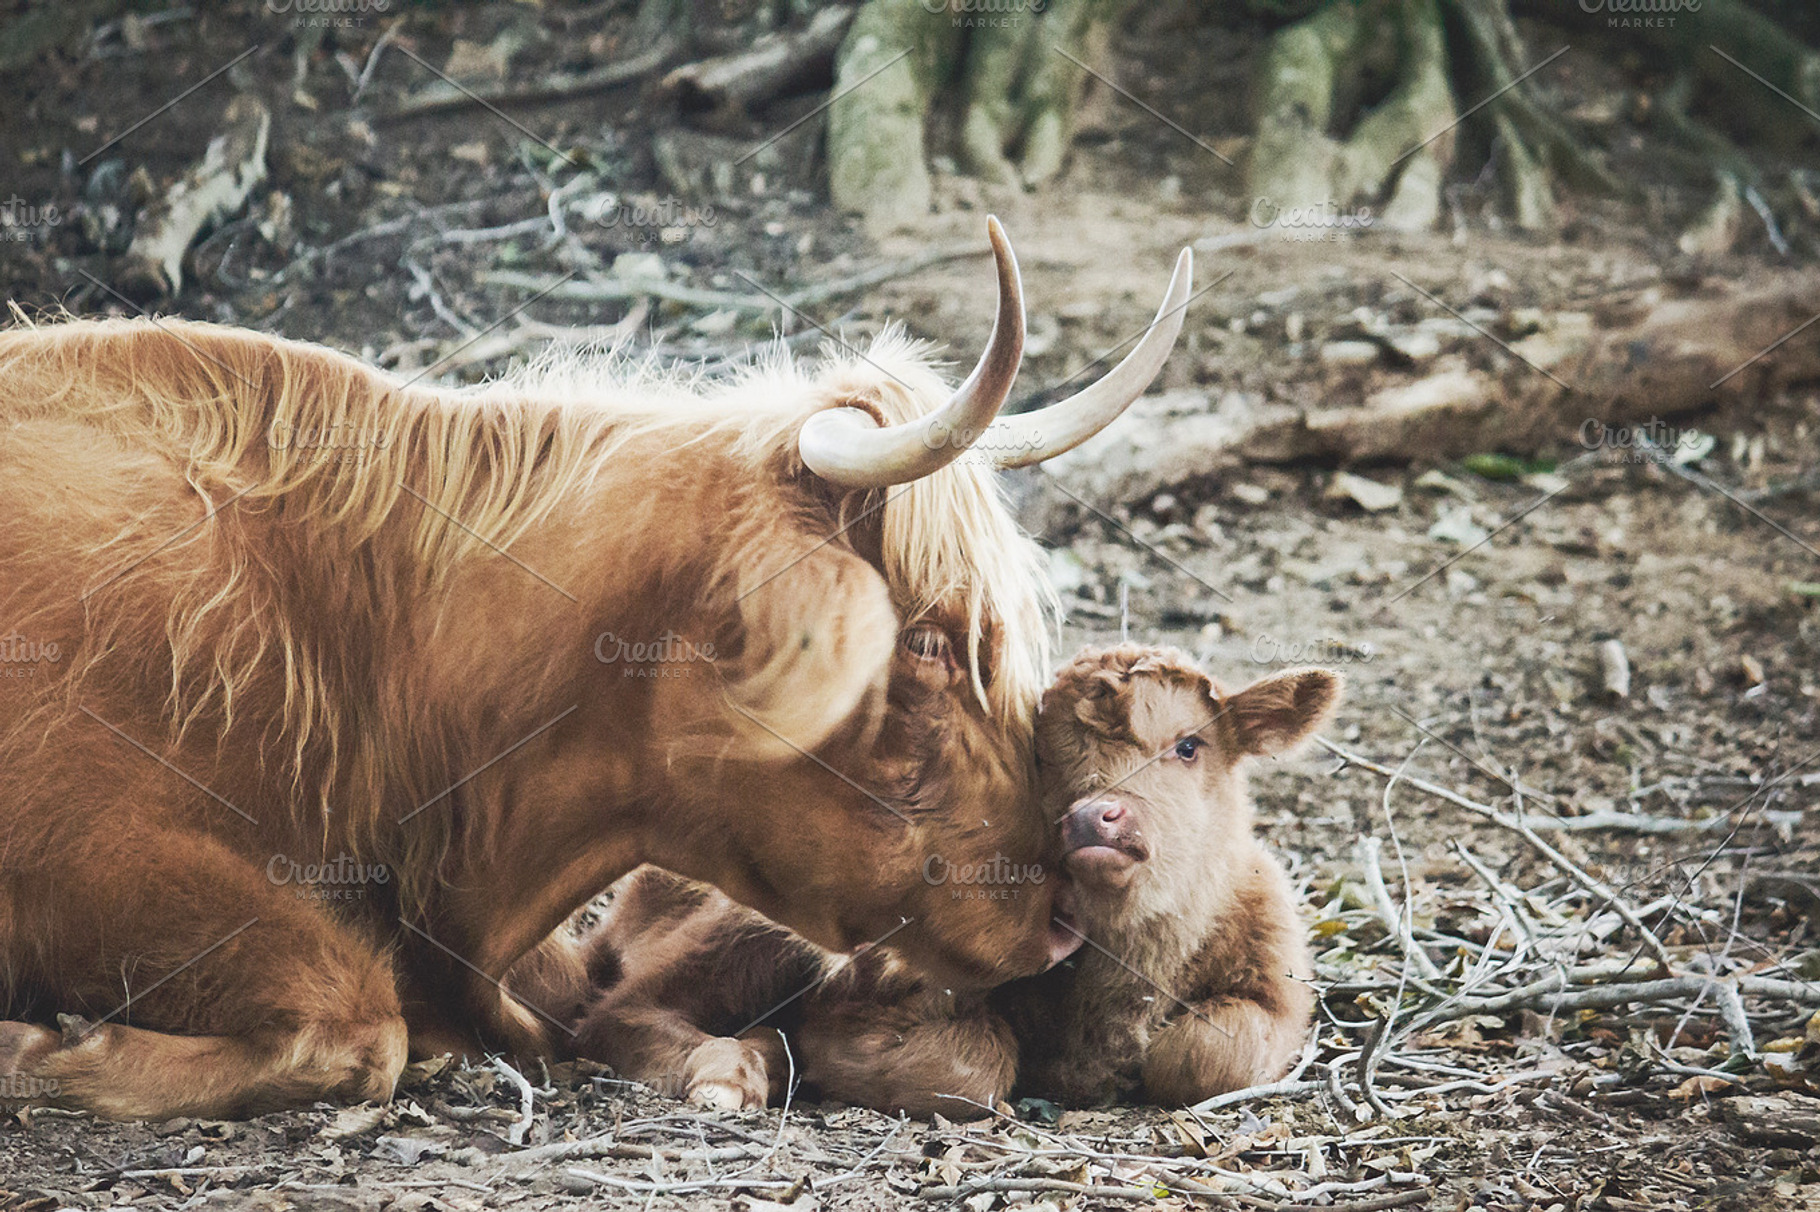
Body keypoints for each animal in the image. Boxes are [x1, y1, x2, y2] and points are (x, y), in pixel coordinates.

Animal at [571, 645, 1336, 1113]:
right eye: (1040, 759)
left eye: (1188, 745)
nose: (1096, 816)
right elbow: (974, 1066)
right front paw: (822, 1051)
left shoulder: (1278, 988)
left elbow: (1208, 1054)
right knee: (619, 1012)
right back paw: (729, 1074)